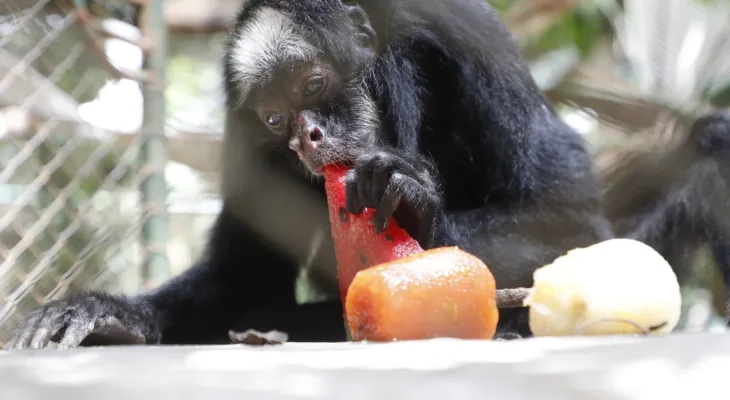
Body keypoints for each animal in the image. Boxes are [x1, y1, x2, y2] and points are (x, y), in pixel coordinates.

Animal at [7, 0, 728, 350]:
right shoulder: (239, 120)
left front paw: (414, 200)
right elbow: (244, 276)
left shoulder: (465, 33)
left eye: (314, 84)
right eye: (276, 119)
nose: (308, 136)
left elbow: (569, 212)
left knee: (713, 143)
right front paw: (111, 314)